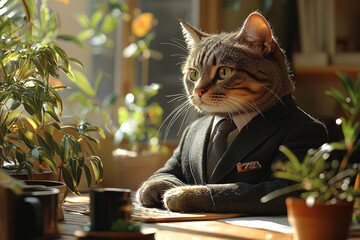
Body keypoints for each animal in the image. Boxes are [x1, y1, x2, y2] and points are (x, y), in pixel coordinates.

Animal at [136, 11, 330, 215]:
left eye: (224, 72)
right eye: (193, 74)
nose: (198, 90)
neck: (227, 118)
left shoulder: (285, 182)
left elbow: (228, 189)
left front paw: (183, 193)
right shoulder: (173, 162)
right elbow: (163, 172)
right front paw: (154, 187)